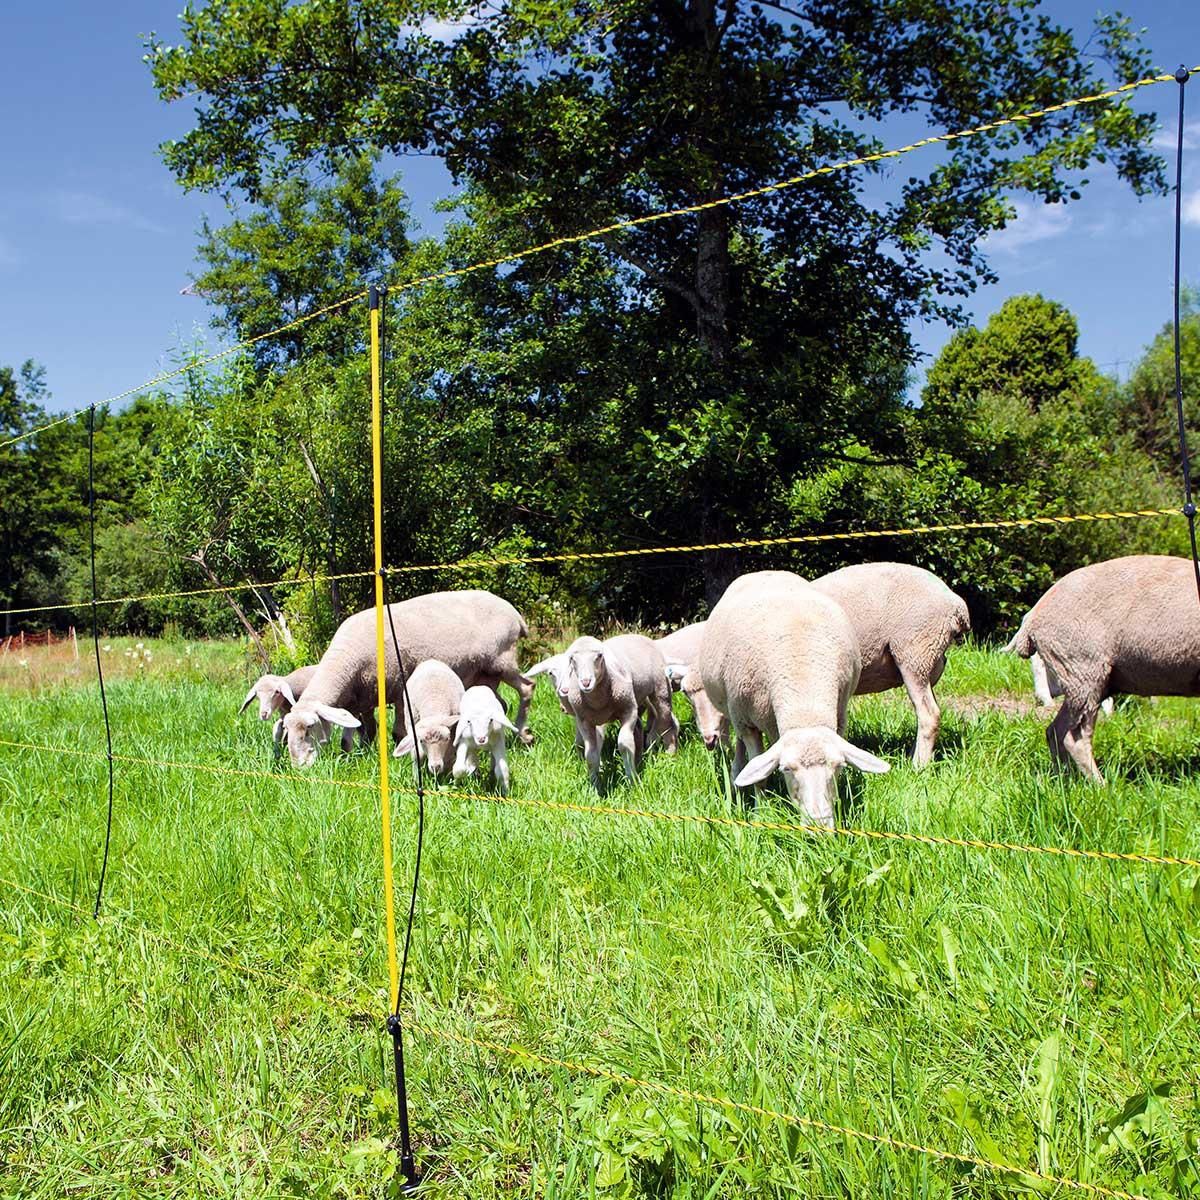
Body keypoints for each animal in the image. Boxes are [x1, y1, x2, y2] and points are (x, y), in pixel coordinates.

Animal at [281, 590, 534, 767]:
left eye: (310, 727)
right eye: (286, 729)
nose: (299, 767)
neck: (346, 661)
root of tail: (515, 614)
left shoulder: (398, 689)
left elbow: (398, 731)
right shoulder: (364, 697)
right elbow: (364, 731)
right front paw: (358, 754)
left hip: (502, 660)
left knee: (527, 688)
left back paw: (524, 735)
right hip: (485, 673)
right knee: (501, 703)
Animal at [564, 634, 678, 786]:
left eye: (599, 655)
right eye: (572, 659)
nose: (586, 683)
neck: (598, 701)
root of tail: (636, 634)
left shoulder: (628, 711)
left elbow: (625, 744)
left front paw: (633, 781)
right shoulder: (584, 721)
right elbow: (590, 755)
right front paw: (594, 785)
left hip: (661, 689)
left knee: (666, 723)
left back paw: (669, 756)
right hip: (639, 698)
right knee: (640, 729)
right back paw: (639, 759)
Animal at [699, 570, 889, 826]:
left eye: (837, 766)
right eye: (787, 769)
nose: (819, 825)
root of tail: (766, 571)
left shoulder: (839, 720)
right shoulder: (748, 725)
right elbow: (759, 776)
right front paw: (760, 814)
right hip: (735, 712)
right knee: (741, 752)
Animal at [810, 562, 970, 767]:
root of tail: (955, 602)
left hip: (915, 652)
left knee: (929, 714)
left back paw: (918, 766)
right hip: (929, 662)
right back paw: (912, 757)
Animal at [1004, 555, 1200, 781]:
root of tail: (1033, 614)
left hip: (1081, 675)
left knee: (1055, 731)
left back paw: (1064, 777)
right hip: (1084, 666)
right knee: (1074, 737)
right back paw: (1100, 784)